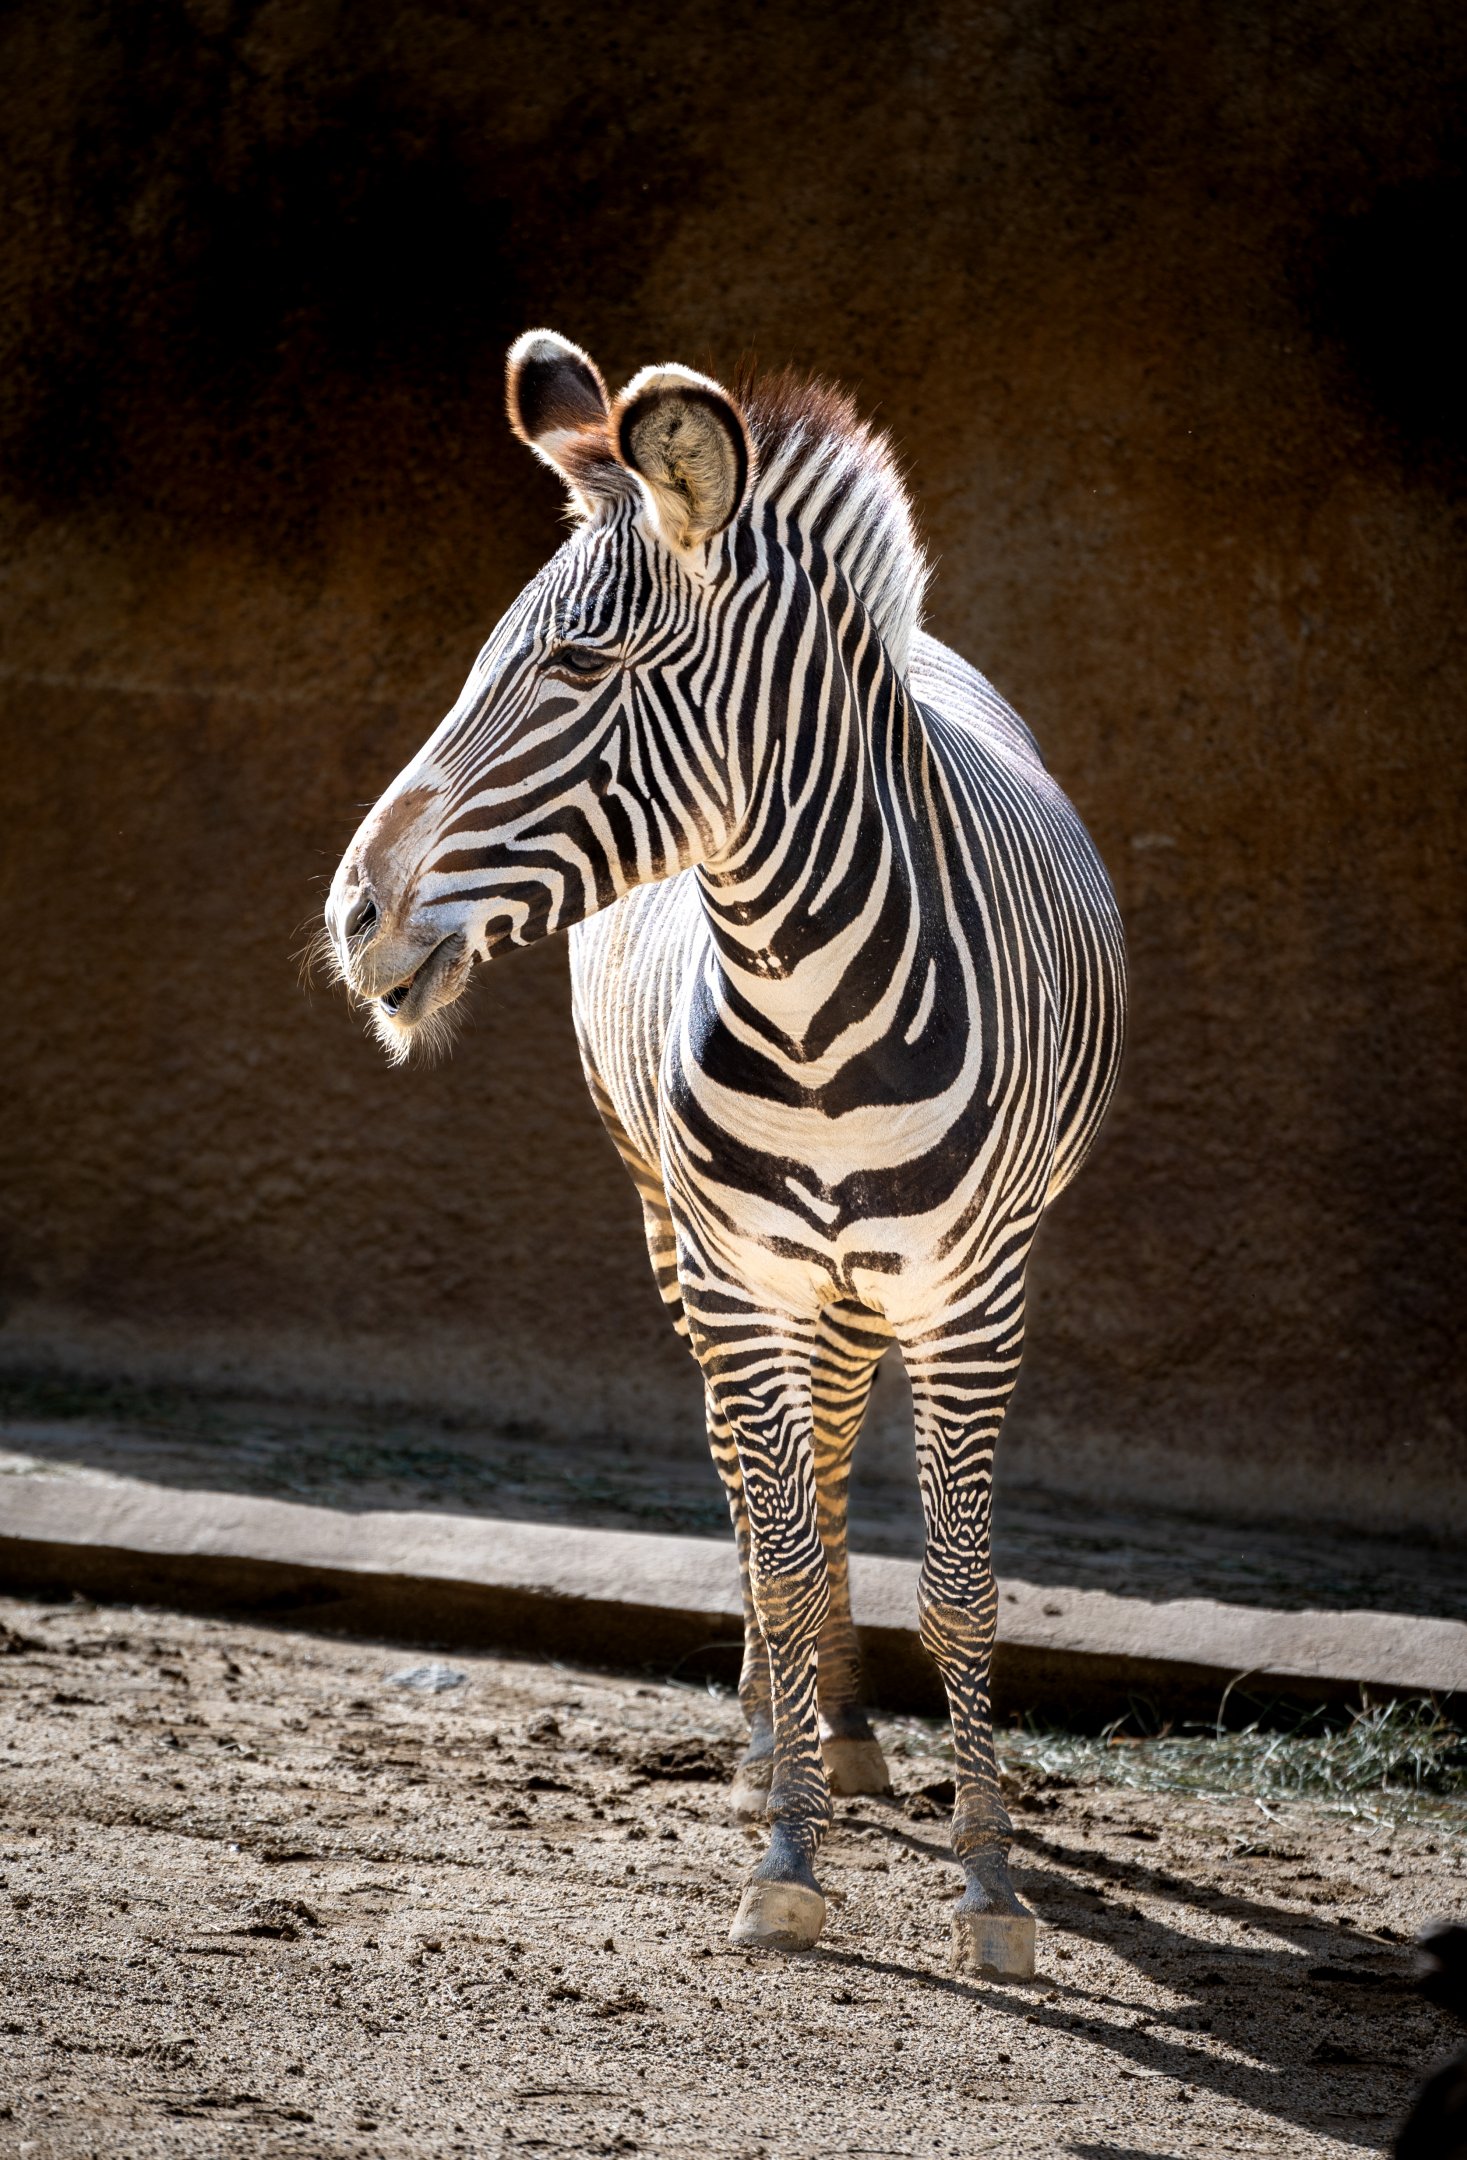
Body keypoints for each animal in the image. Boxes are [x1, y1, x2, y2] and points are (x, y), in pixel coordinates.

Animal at [324, 331, 1126, 1974]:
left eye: (575, 670)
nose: (351, 914)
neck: (814, 1009)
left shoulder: (973, 1296)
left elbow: (962, 1588)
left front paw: (989, 1886)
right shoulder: (741, 1275)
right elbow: (779, 1546)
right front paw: (787, 1855)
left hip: (856, 1289)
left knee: (824, 1461)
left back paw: (850, 1737)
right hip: (688, 1236)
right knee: (765, 1495)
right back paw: (778, 1741)